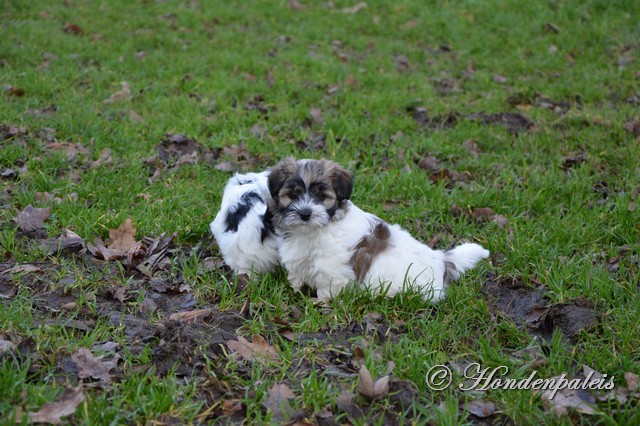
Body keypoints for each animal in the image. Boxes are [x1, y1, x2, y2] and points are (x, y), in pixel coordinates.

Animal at [264, 158, 490, 302]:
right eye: (292, 194)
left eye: (322, 196)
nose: (305, 213)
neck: (313, 230)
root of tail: (442, 261)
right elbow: (297, 273)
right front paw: (295, 287)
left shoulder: (332, 267)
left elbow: (328, 286)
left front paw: (320, 302)